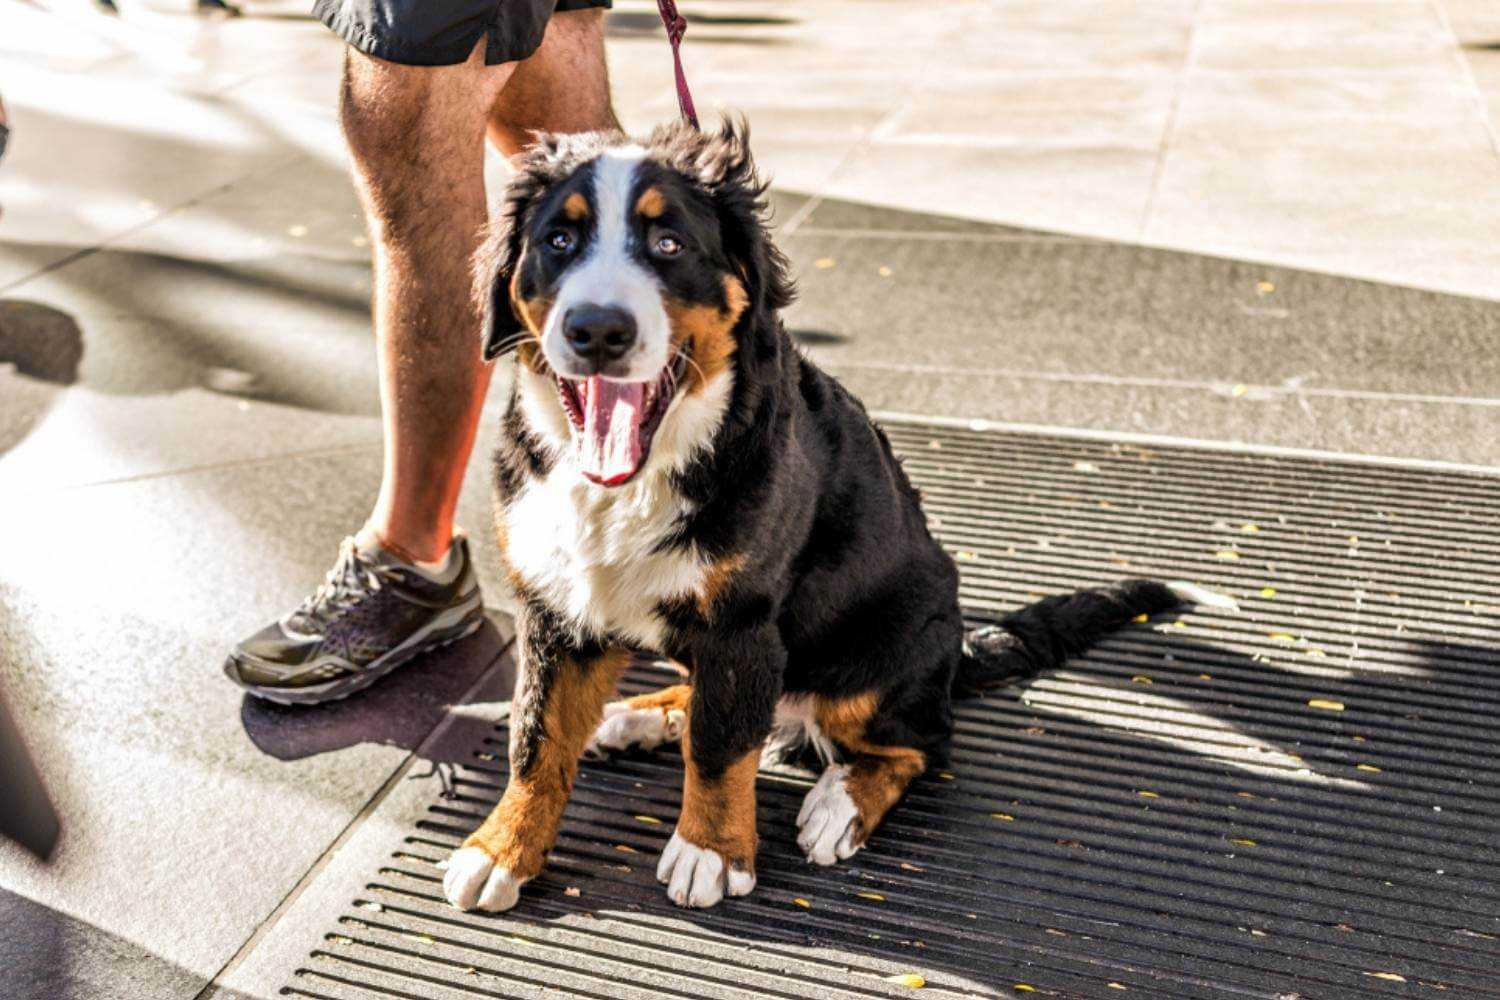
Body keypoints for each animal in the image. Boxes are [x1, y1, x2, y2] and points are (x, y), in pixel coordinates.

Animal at [438, 119, 1206, 917]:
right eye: (559, 240)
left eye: (669, 243)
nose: (597, 329)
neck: (637, 477)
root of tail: (954, 651)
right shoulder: (557, 607)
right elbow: (537, 738)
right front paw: (502, 849)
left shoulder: (741, 624)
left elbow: (721, 748)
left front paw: (710, 852)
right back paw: (643, 713)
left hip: (875, 657)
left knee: (916, 743)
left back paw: (839, 804)